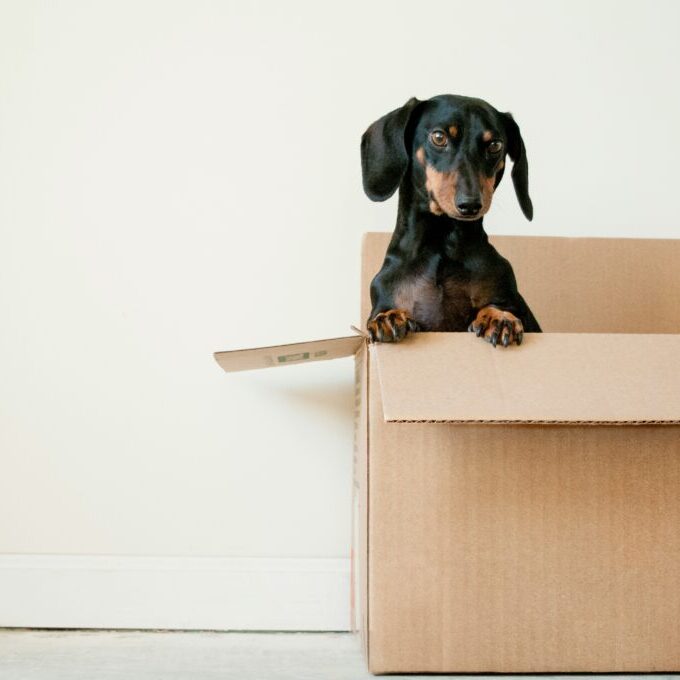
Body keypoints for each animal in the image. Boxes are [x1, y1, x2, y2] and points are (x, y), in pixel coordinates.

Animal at [362, 94, 540, 346]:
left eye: (495, 145)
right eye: (439, 137)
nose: (470, 204)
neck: (442, 243)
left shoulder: (511, 299)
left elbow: (497, 306)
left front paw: (498, 317)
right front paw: (388, 317)